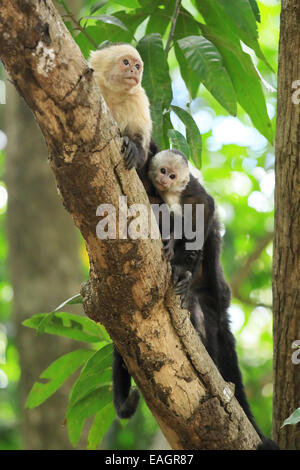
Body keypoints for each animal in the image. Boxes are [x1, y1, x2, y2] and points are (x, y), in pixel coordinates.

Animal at [148, 150, 278, 448]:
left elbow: (202, 214)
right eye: (162, 170)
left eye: (171, 174)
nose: (164, 179)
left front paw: (180, 260)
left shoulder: (192, 195)